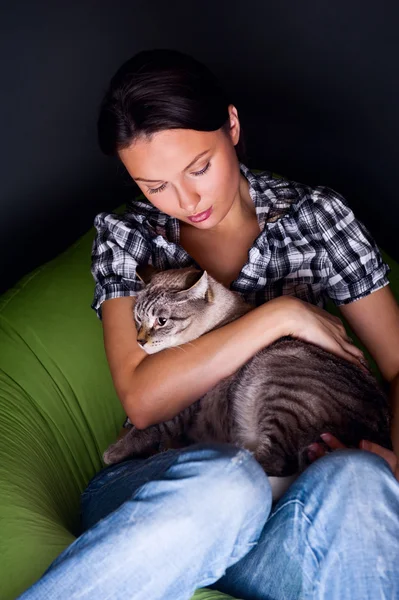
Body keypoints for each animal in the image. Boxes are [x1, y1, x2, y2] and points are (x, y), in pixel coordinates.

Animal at [104, 270, 394, 500]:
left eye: (161, 321)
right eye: (137, 319)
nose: (140, 341)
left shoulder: (181, 408)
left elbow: (147, 430)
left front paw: (113, 452)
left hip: (278, 389)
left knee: (264, 464)